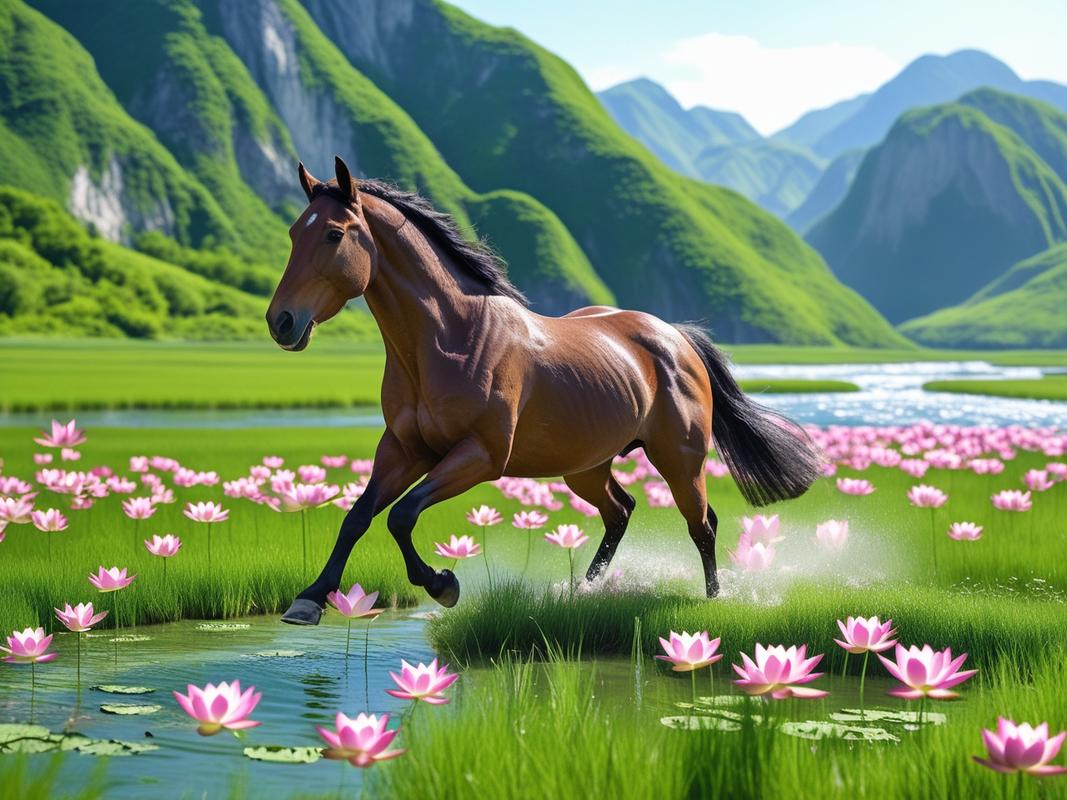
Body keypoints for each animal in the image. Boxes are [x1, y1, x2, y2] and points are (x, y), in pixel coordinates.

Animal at [267, 157, 822, 625]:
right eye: (293, 232)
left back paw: (712, 600)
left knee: (701, 523)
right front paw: (309, 600)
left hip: (679, 460)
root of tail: (676, 337)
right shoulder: (404, 449)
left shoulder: (480, 456)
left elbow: (401, 516)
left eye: (334, 234)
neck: (450, 339)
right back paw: (583, 592)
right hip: (586, 467)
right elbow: (358, 517)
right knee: (621, 511)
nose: (281, 322)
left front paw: (443, 584)